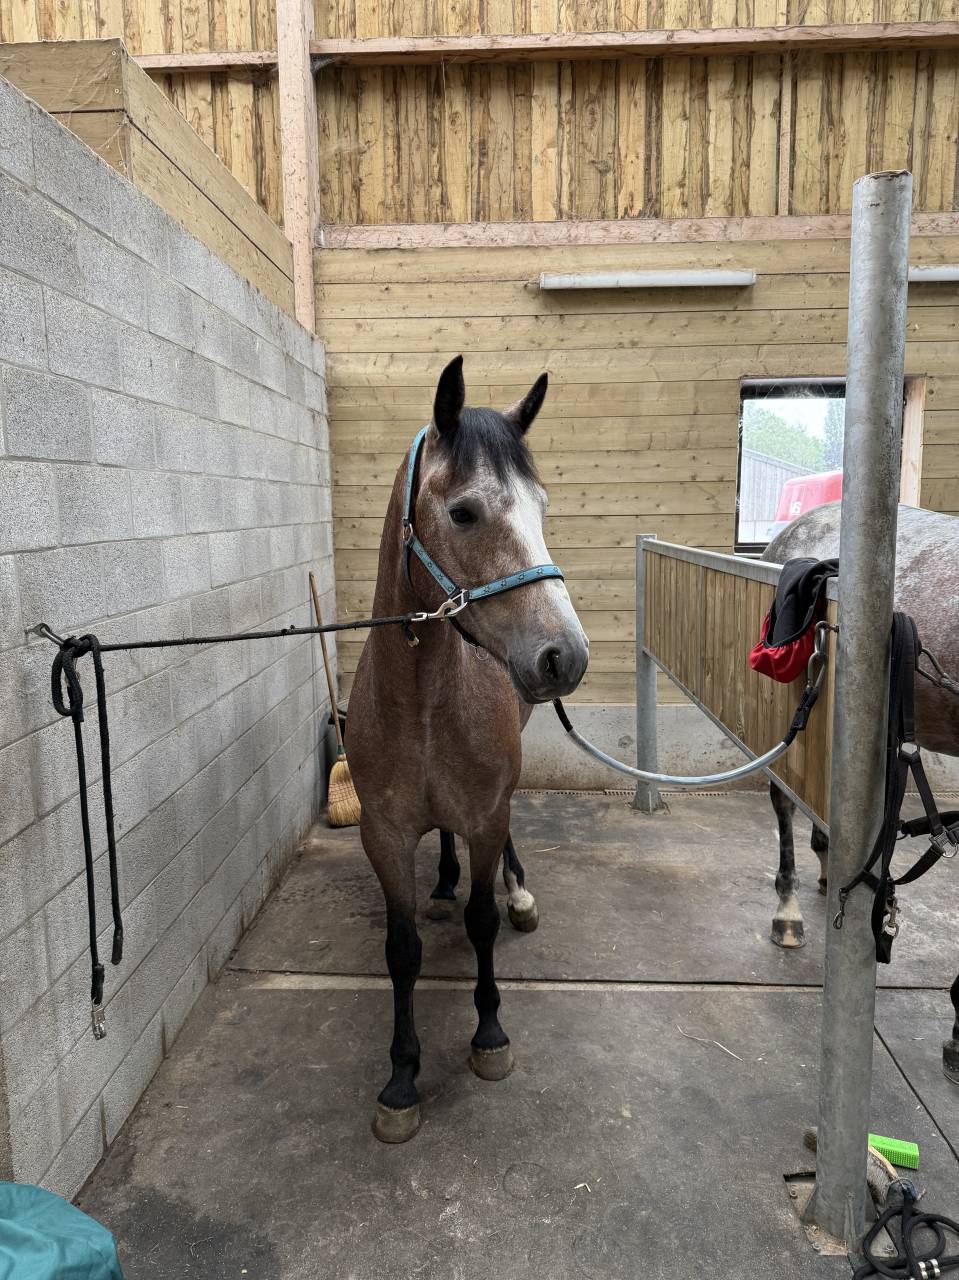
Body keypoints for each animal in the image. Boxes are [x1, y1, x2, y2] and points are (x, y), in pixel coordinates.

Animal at [346, 356, 589, 1142]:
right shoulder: (383, 833)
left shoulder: (486, 813)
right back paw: (447, 880)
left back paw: (517, 892)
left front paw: (489, 1035)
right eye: (463, 512)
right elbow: (401, 952)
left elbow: (482, 923)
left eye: (541, 506)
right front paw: (400, 1079)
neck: (422, 699)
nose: (564, 656)